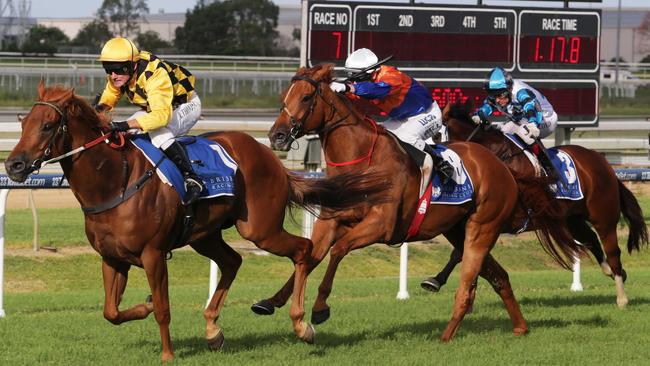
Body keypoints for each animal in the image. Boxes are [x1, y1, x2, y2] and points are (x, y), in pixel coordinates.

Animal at [3, 82, 390, 360]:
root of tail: (270, 156)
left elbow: (163, 309)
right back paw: (213, 331)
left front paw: (167, 354)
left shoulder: (153, 254)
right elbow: (110, 312)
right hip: (205, 235)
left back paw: (301, 324)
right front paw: (144, 305)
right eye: (24, 123)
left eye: (48, 126)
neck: (115, 179)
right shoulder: (112, 258)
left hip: (259, 228)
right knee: (232, 261)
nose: (14, 165)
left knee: (304, 249)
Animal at [260, 64, 588, 342]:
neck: (363, 161)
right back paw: (519, 327)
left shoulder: (381, 225)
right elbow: (309, 256)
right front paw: (273, 303)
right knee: (498, 276)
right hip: (458, 229)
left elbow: (338, 251)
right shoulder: (330, 221)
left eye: (305, 97)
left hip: (483, 227)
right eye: (283, 97)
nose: (277, 136)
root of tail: (503, 166)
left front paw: (320, 308)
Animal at [422, 101, 644, 306]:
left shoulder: (499, 219)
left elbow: (461, 252)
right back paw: (611, 271)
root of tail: (601, 161)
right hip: (572, 219)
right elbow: (460, 253)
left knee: (612, 250)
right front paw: (436, 281)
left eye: (436, 135)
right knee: (591, 239)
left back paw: (621, 296)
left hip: (603, 216)